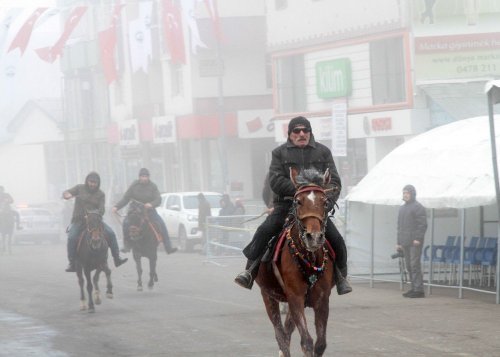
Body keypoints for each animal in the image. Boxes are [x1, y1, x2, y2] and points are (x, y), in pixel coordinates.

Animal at [258, 168, 336, 356]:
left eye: (325, 202)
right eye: (298, 201)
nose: (313, 237)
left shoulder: (322, 299)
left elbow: (320, 344)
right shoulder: (295, 297)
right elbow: (306, 341)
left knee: (286, 332)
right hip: (268, 295)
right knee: (281, 336)